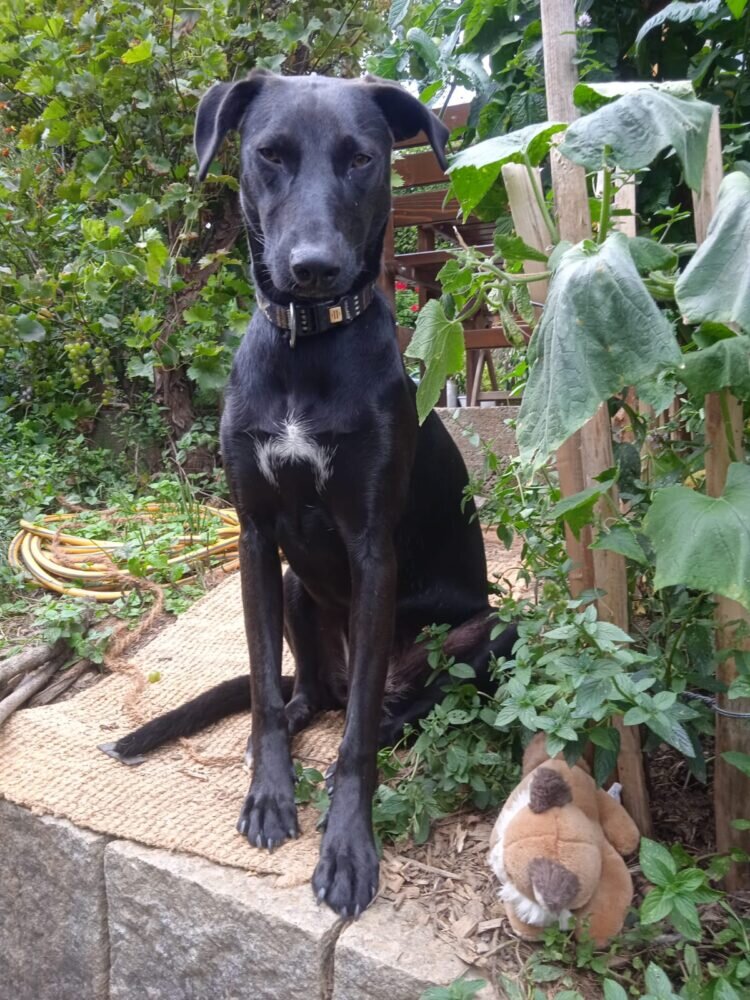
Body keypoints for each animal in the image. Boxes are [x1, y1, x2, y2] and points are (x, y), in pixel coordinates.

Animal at [101, 71, 518, 918]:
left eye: (361, 158)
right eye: (269, 154)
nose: (313, 268)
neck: (307, 343)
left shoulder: (371, 549)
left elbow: (353, 740)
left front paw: (348, 846)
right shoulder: (258, 539)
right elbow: (263, 691)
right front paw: (269, 794)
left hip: (489, 629)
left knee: (381, 711)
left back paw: (379, 729)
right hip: (298, 588)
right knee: (313, 697)